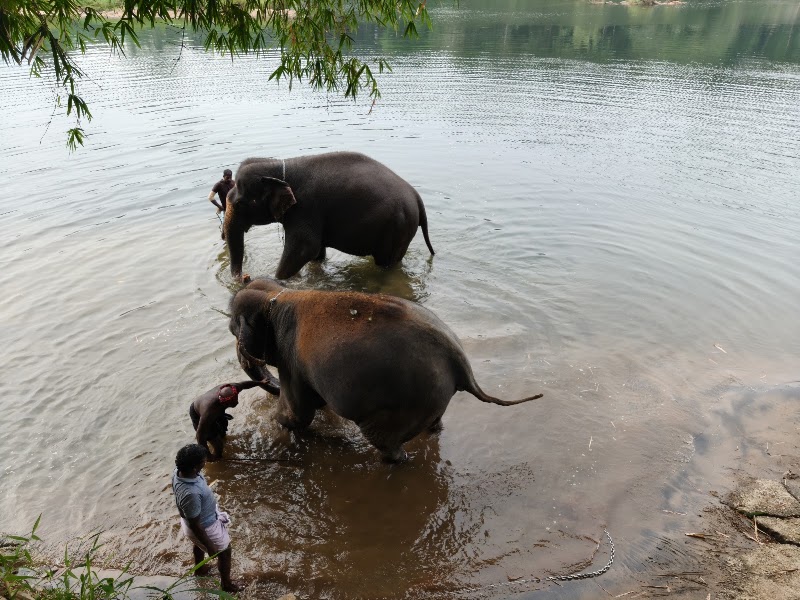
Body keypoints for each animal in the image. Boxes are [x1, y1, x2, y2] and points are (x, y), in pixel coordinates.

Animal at [223, 152, 435, 281]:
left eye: (241, 204)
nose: (243, 278)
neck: (280, 166)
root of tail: (417, 198)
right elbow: (316, 253)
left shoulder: (305, 209)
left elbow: (304, 248)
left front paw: (275, 280)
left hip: (398, 228)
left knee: (386, 264)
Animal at [229, 278, 544, 462]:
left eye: (233, 329)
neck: (277, 295)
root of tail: (459, 362)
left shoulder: (291, 362)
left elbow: (297, 415)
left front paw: (275, 422)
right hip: (432, 399)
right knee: (433, 426)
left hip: (404, 405)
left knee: (387, 444)